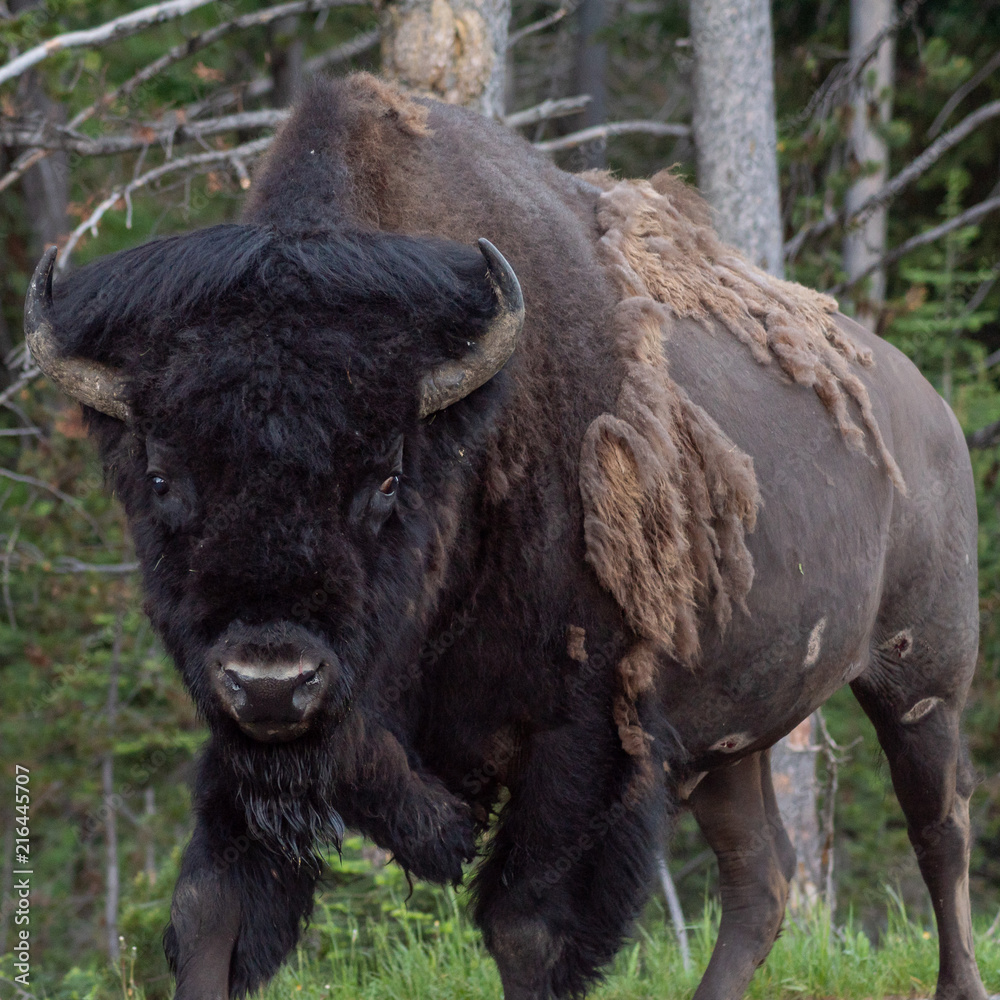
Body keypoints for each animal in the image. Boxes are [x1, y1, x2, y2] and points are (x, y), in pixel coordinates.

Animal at [23, 73, 985, 1000]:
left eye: (386, 477)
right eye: (161, 478)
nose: (271, 680)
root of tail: (931, 410)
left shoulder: (584, 739)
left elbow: (528, 930)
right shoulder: (250, 758)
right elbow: (208, 910)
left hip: (922, 677)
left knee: (940, 830)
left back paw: (959, 984)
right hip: (728, 741)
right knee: (764, 875)